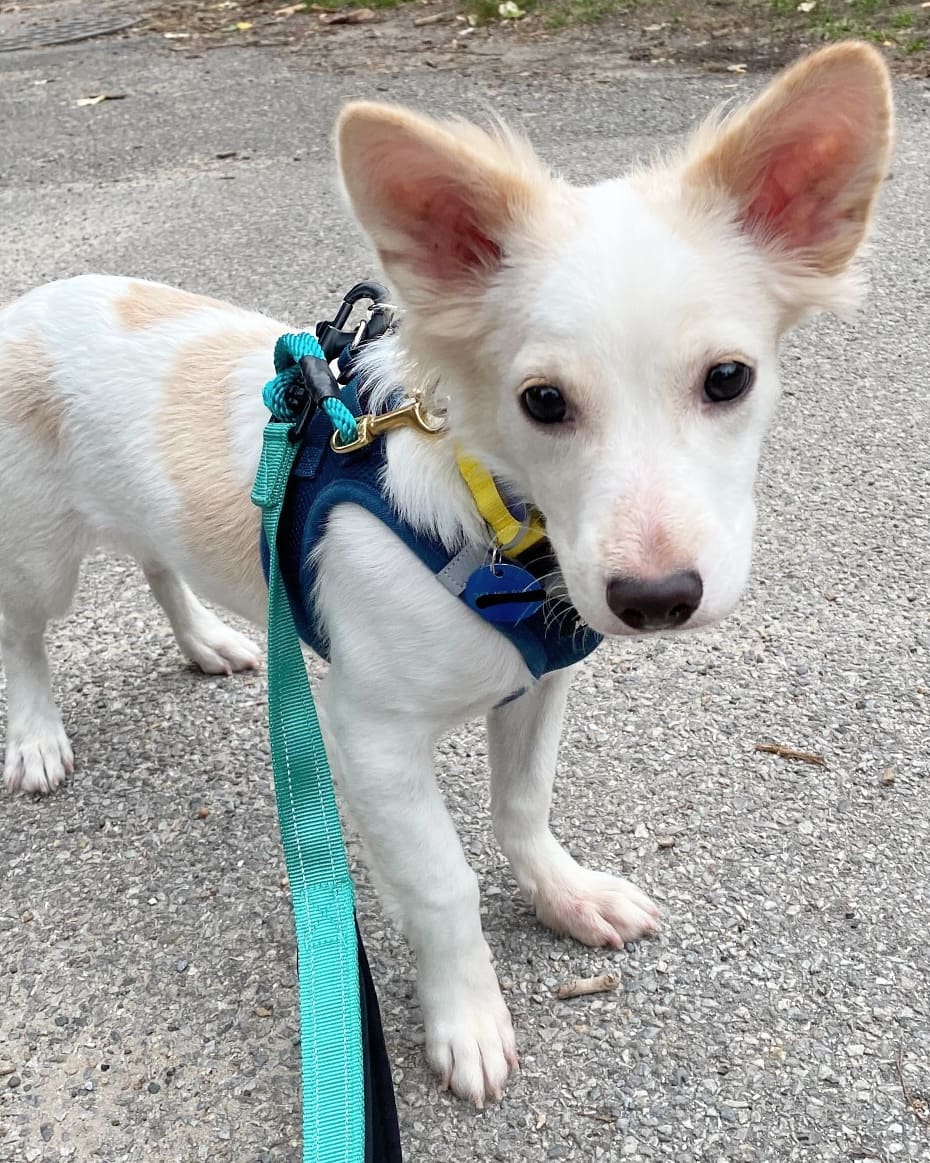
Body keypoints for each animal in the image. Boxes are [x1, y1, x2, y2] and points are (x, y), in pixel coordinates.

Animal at [0, 43, 892, 1097]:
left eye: (729, 378)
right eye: (542, 400)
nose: (656, 600)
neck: (497, 533)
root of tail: (30, 301)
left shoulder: (537, 686)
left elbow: (524, 807)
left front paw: (563, 893)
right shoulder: (369, 734)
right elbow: (441, 883)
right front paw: (467, 1015)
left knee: (157, 563)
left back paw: (208, 640)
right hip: (38, 551)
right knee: (25, 636)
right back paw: (37, 736)